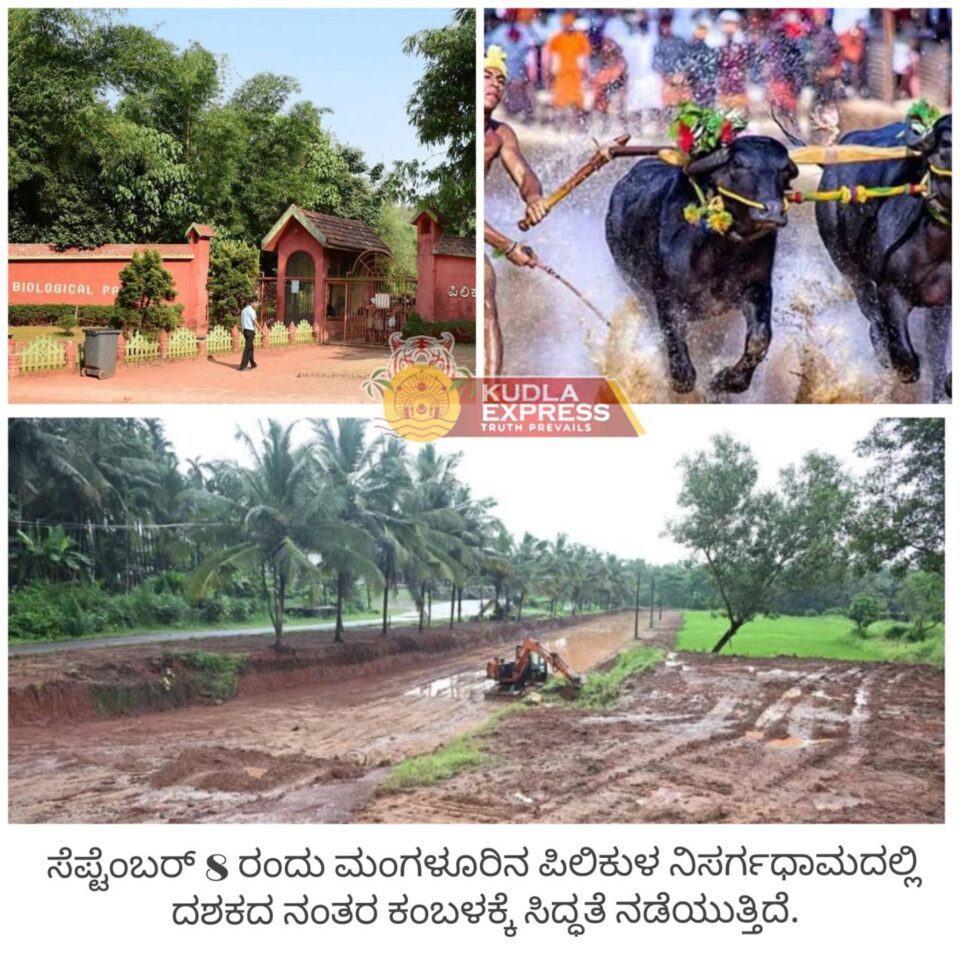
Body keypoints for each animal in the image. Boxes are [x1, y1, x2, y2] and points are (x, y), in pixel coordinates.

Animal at [604, 135, 800, 394]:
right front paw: (682, 378)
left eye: (784, 169)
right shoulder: (666, 295)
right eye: (738, 163)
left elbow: (760, 339)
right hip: (638, 288)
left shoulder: (757, 288)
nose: (772, 211)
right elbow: (673, 337)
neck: (721, 251)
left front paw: (729, 380)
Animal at [812, 114, 948, 400]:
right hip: (848, 266)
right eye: (944, 143)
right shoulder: (890, 290)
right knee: (872, 315)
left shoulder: (943, 301)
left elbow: (938, 354)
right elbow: (905, 353)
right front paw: (902, 368)